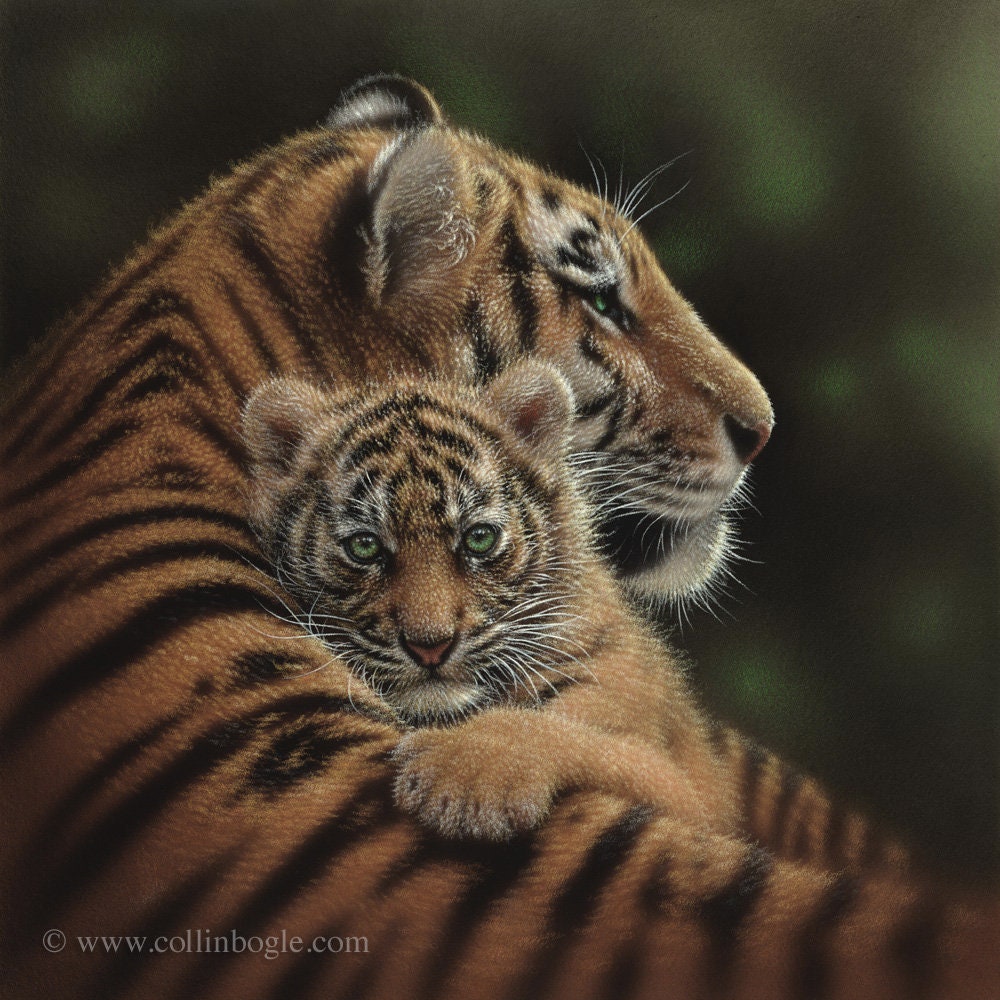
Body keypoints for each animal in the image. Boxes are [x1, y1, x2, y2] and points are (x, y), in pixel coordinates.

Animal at [241, 362, 742, 842]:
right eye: (364, 547)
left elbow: (579, 738)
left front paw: (464, 779)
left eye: (478, 538)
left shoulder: (685, 791)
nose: (430, 647)